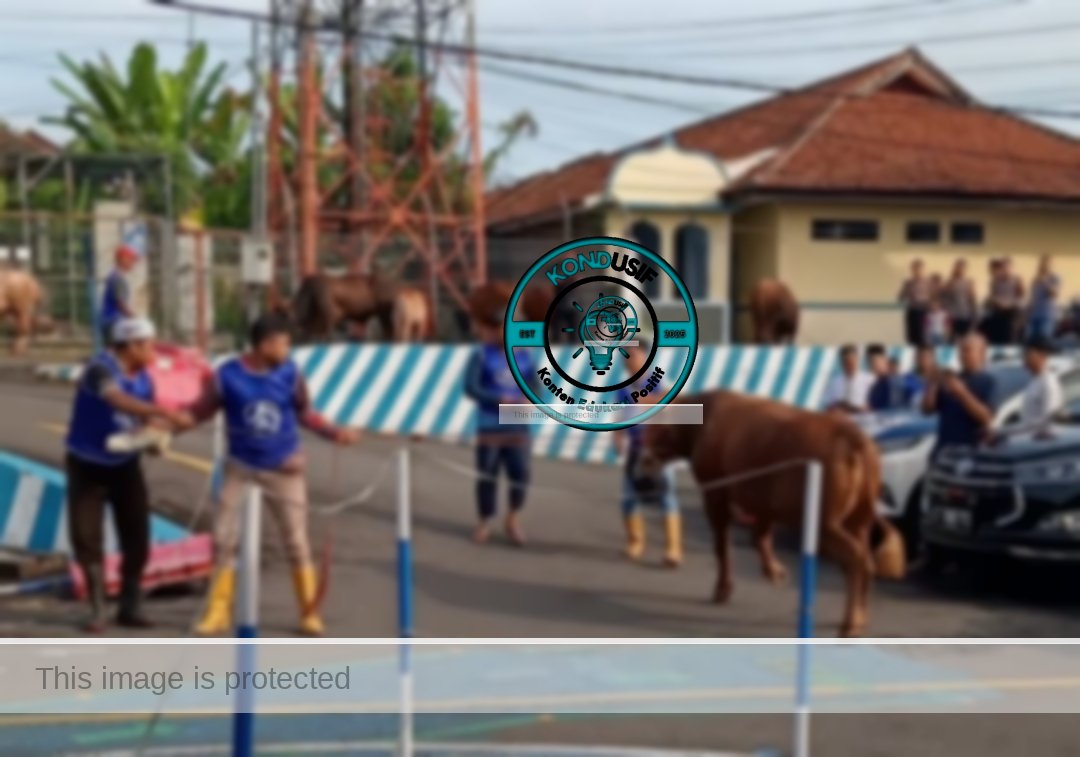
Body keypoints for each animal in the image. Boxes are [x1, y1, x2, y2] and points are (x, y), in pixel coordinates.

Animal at [638, 390, 904, 637]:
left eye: (659, 427)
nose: (644, 462)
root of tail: (853, 437)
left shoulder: (716, 492)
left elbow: (722, 545)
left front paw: (723, 590)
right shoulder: (765, 503)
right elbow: (760, 537)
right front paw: (775, 572)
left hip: (826, 524)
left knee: (856, 560)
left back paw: (850, 624)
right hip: (859, 521)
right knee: (865, 561)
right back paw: (862, 617)